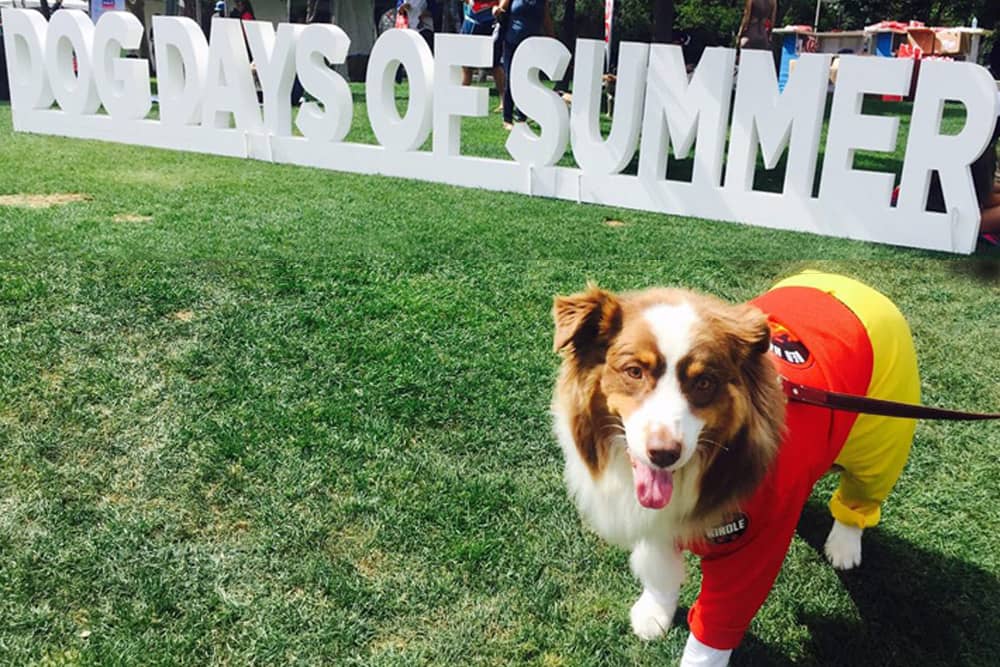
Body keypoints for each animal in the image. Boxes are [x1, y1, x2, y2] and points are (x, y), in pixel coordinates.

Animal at [556, 274, 920, 664]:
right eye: (634, 371)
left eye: (704, 383)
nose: (663, 454)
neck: (704, 467)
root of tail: (848, 283)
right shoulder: (659, 525)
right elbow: (660, 572)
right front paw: (654, 613)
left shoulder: (750, 552)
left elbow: (715, 628)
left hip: (882, 439)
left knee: (862, 491)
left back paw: (845, 545)